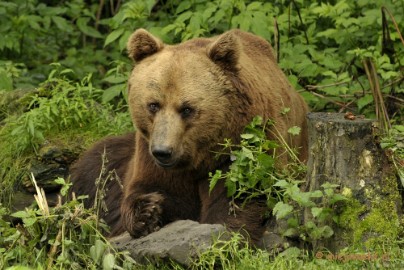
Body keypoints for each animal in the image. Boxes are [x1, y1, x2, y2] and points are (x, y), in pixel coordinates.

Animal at [70, 28, 310, 244]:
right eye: (153, 105)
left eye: (187, 109)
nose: (163, 152)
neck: (199, 156)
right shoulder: (148, 153)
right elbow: (152, 188)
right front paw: (147, 213)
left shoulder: (248, 146)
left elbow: (241, 195)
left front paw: (224, 234)